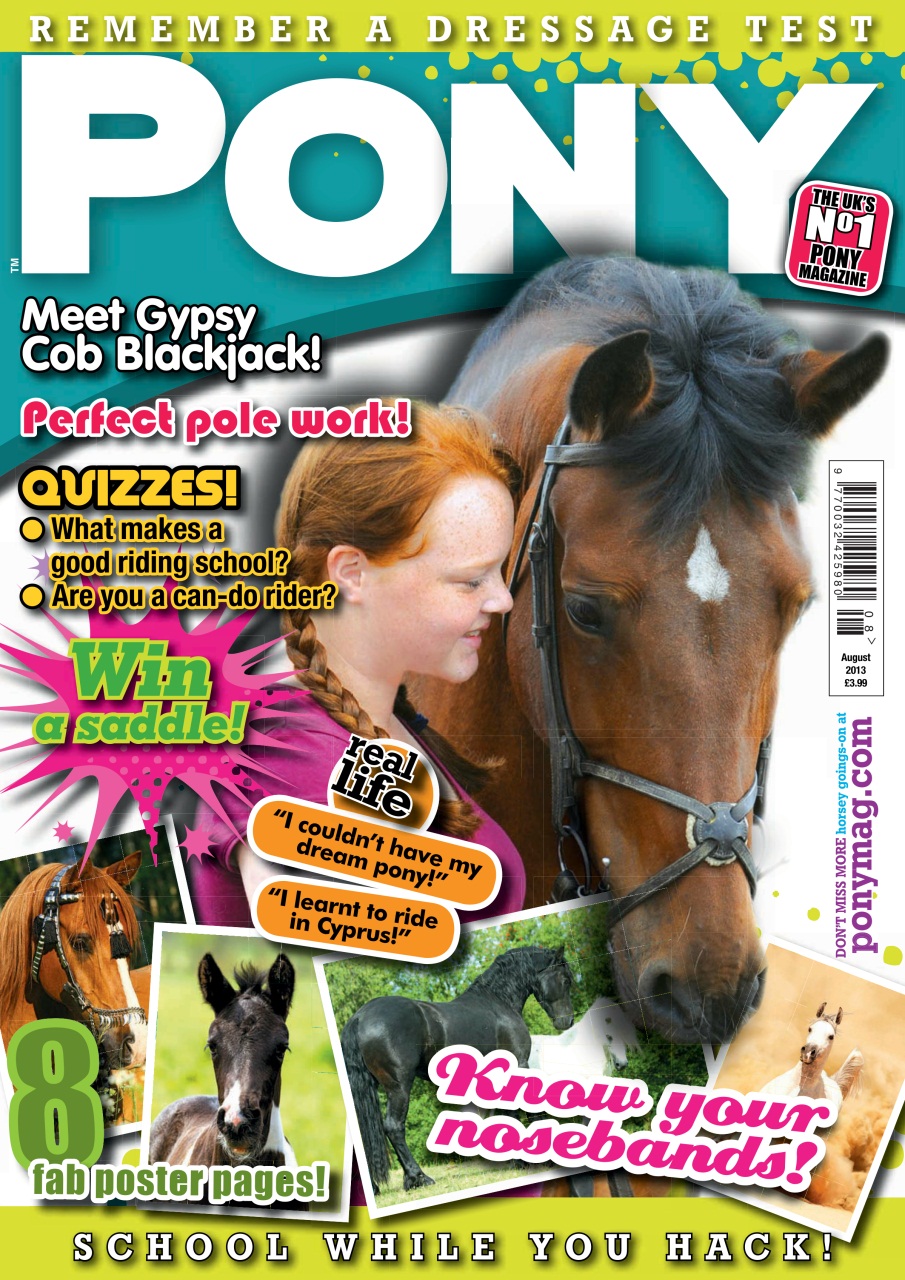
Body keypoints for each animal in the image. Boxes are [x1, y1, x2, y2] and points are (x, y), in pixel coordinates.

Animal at [341, 945, 575, 1193]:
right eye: (565, 979)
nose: (567, 1021)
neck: (499, 1002)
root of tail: (359, 1017)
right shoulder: (520, 1063)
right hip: (399, 1087)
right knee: (394, 1127)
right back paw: (418, 1177)